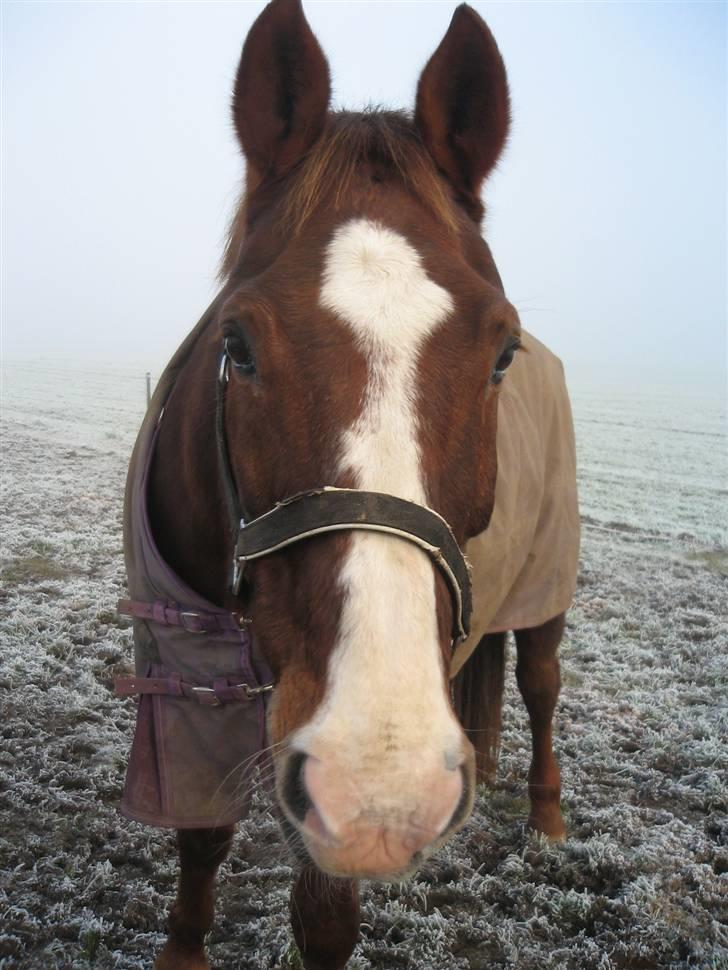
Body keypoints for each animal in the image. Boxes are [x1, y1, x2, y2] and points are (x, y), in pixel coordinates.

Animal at [115, 3, 580, 964]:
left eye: (501, 353)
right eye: (238, 342)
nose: (381, 782)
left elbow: (326, 917)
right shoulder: (185, 681)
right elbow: (200, 836)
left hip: (549, 588)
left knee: (543, 686)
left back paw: (546, 819)